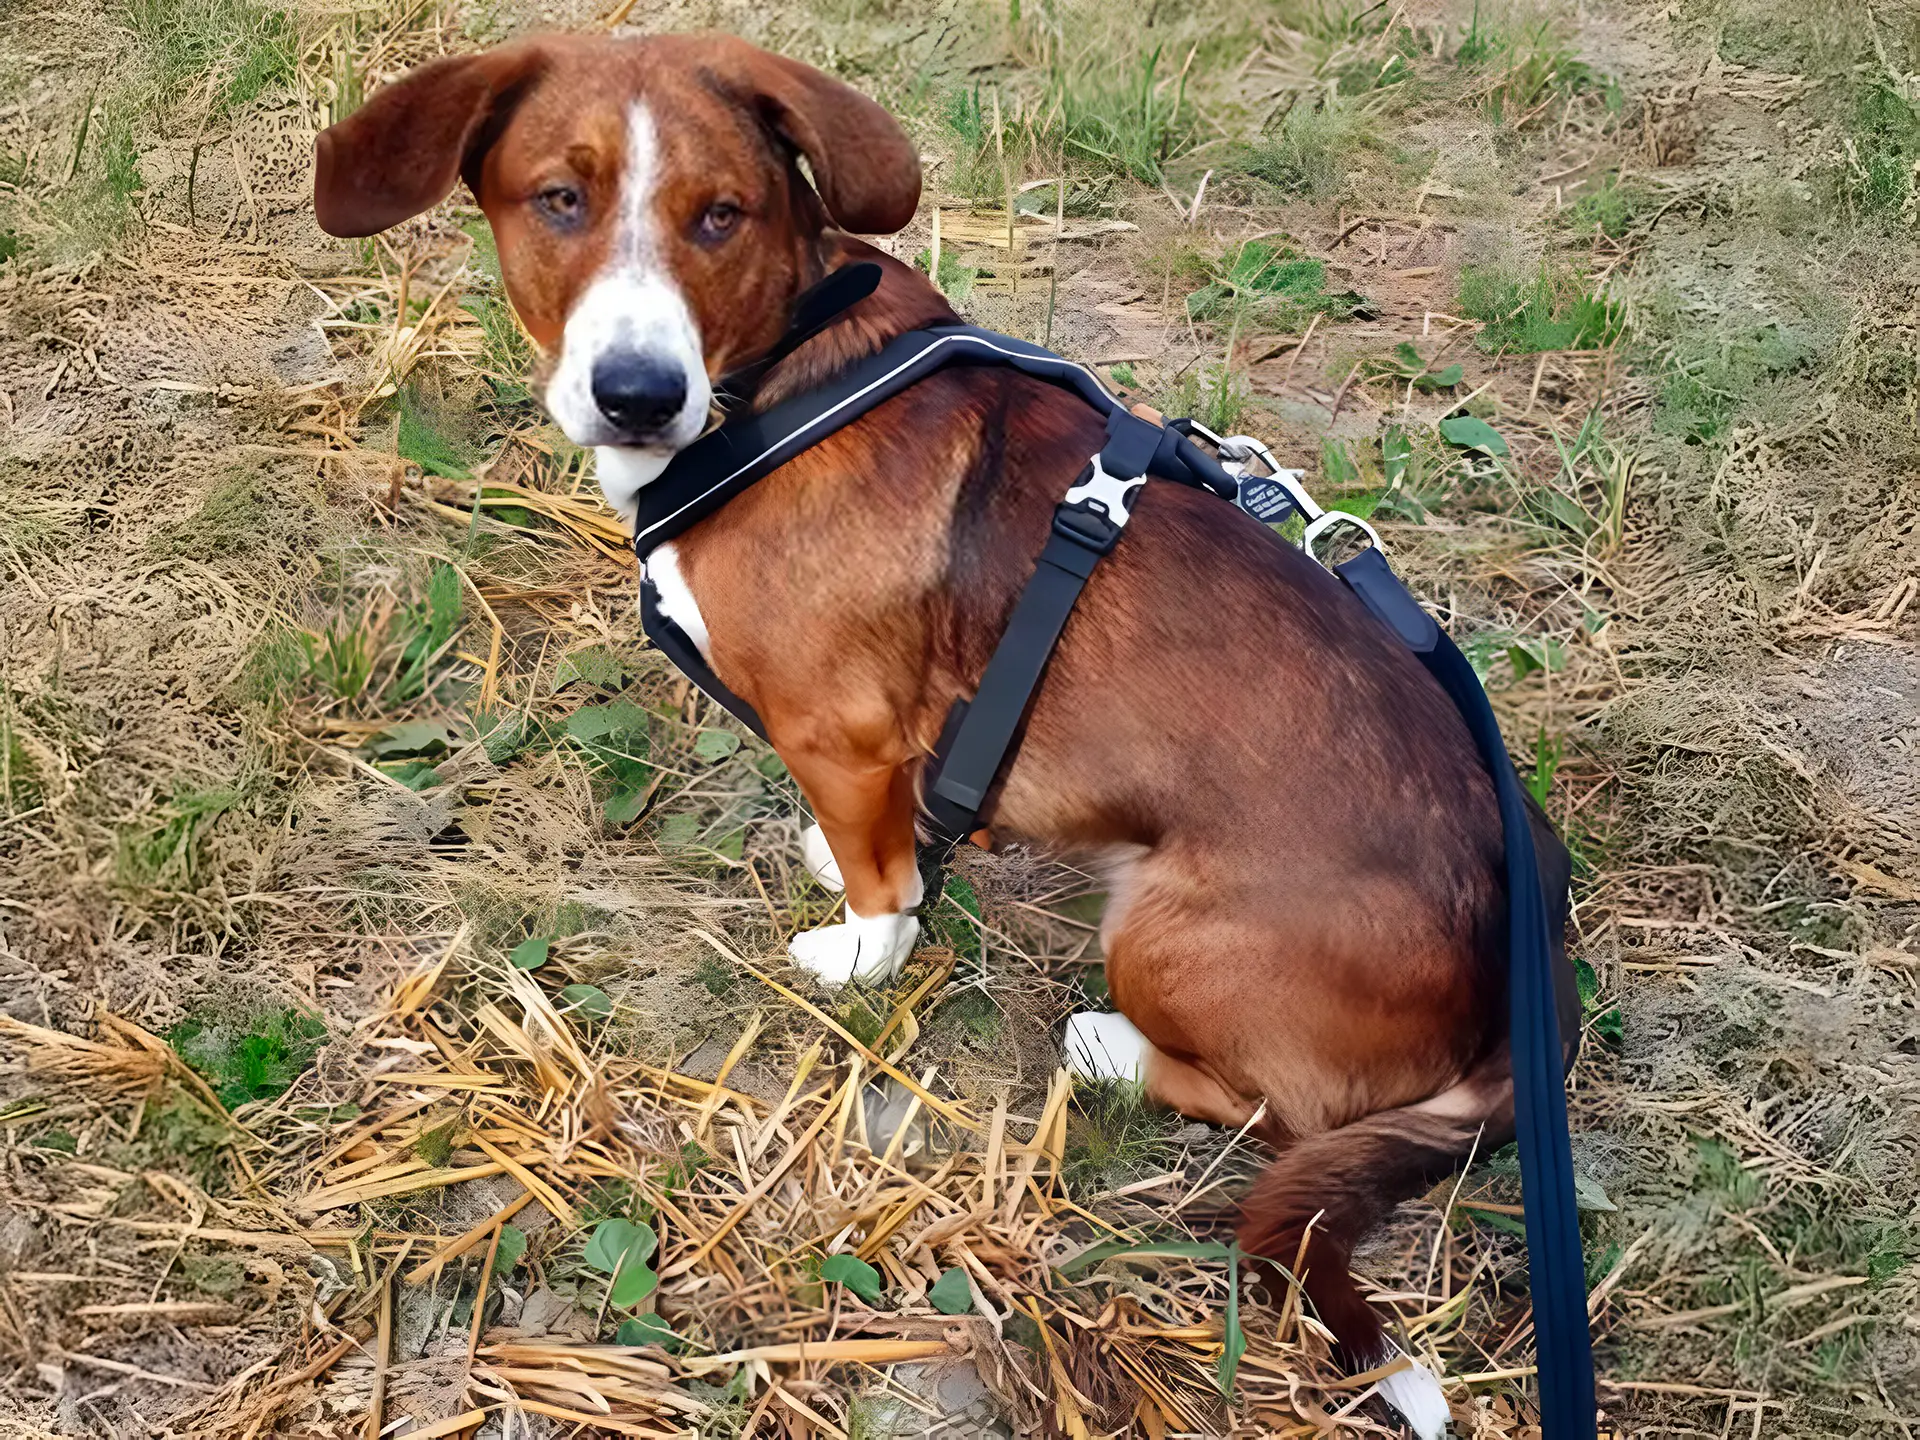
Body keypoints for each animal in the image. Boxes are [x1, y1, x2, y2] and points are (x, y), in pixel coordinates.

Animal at [318, 30, 1574, 1436]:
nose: (637, 395)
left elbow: (882, 893)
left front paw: (864, 947)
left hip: (1163, 934)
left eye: (720, 215)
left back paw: (1112, 1049)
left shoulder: (841, 731)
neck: (777, 379)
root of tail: (1516, 990)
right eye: (559, 200)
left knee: (1276, 1112)